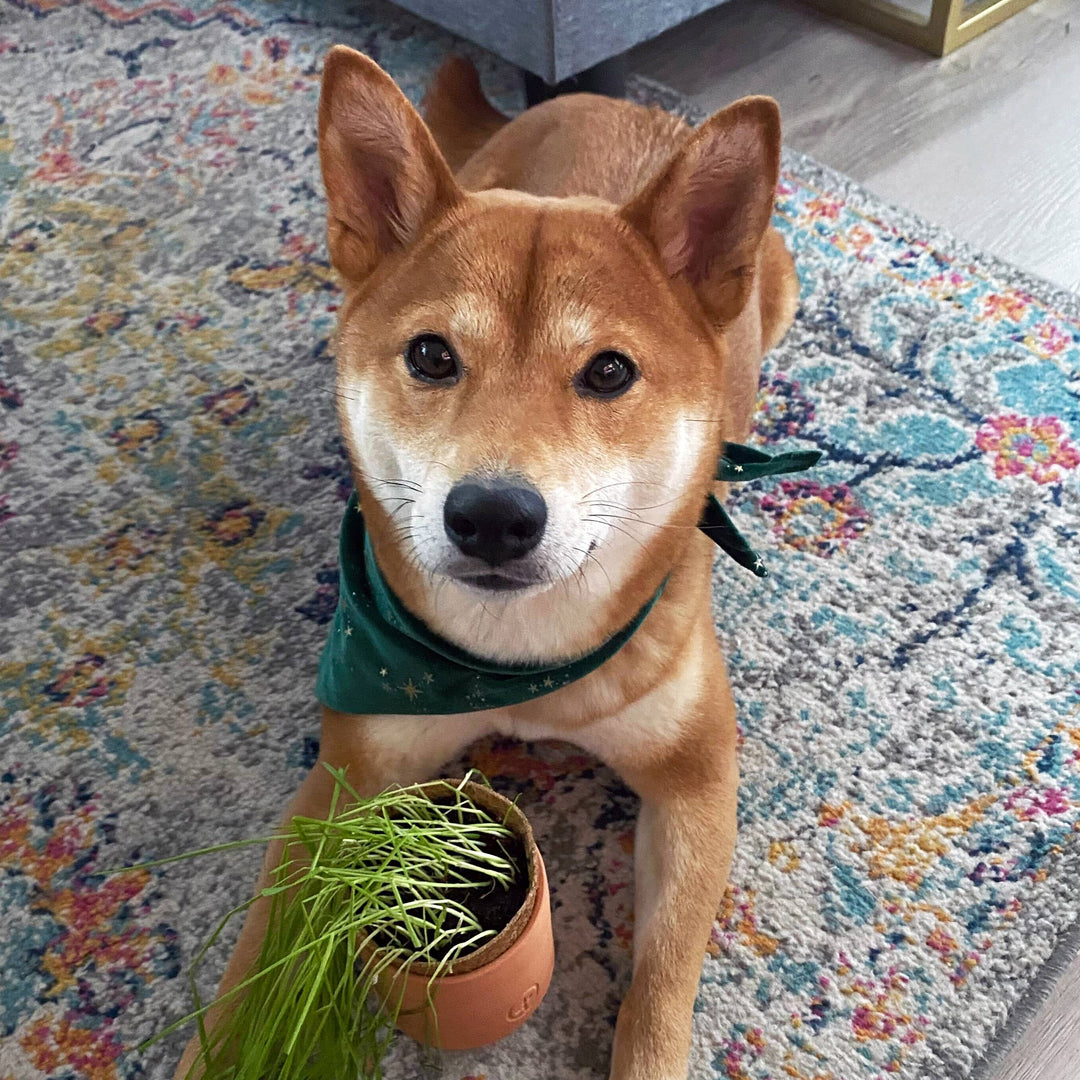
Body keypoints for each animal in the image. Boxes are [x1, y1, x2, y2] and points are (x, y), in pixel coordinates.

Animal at [172, 44, 799, 1080]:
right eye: (432, 356)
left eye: (610, 372)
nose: (495, 516)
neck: (518, 666)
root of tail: (600, 99)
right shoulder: (346, 780)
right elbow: (254, 974)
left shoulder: (696, 777)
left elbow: (660, 985)